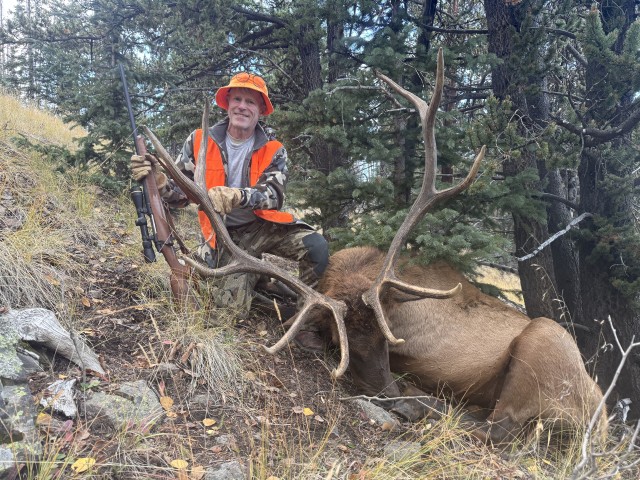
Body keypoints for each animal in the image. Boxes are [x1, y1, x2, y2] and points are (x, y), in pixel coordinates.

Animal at [142, 48, 607, 446]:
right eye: (340, 336)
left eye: (386, 340)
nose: (387, 389)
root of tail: (599, 423)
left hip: (545, 341)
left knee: (499, 427)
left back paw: (435, 405)